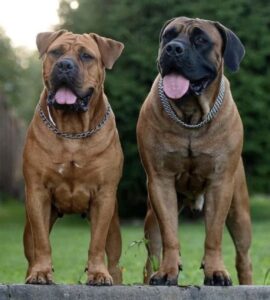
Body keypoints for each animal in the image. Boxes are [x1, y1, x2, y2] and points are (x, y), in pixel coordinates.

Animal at [23, 30, 124, 286]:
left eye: (86, 56)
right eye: (56, 52)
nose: (65, 65)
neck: (72, 130)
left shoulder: (104, 196)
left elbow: (96, 243)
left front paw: (98, 273)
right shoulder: (37, 193)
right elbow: (42, 242)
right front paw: (41, 272)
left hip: (114, 228)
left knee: (115, 261)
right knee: (31, 250)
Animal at [137, 17, 253, 286]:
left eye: (201, 40)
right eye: (168, 36)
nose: (173, 49)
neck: (191, 115)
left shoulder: (220, 184)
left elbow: (213, 235)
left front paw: (215, 271)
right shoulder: (160, 182)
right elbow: (170, 235)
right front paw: (167, 271)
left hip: (240, 214)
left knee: (244, 259)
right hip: (151, 218)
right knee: (153, 253)